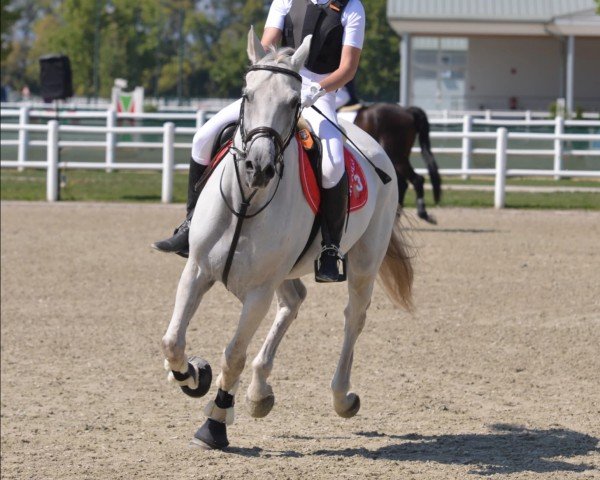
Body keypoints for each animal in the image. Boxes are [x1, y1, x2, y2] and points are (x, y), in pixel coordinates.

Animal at [161, 29, 412, 450]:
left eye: (295, 102)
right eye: (246, 94)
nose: (258, 167)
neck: (247, 200)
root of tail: (373, 143)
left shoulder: (259, 291)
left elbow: (233, 354)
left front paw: (215, 424)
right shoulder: (196, 271)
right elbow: (173, 342)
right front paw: (194, 376)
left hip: (363, 263)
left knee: (353, 318)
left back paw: (341, 397)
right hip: (286, 271)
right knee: (294, 301)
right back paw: (259, 391)